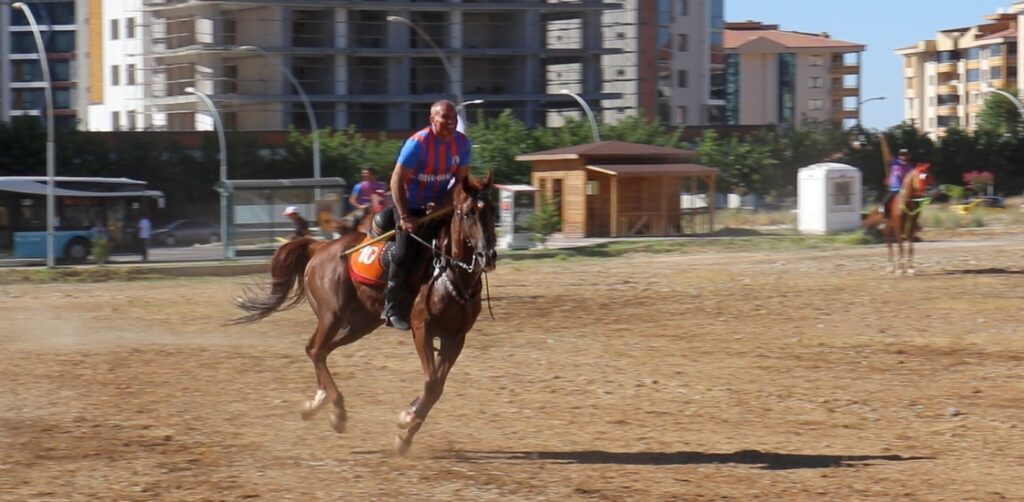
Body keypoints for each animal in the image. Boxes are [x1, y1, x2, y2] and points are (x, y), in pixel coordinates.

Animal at [236, 174, 499, 452]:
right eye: (468, 213)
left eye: (492, 211)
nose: (488, 255)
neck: (448, 271)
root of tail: (321, 247)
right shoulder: (422, 330)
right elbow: (431, 382)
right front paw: (407, 419)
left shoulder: (455, 338)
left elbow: (437, 386)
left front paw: (406, 431)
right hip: (331, 316)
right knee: (316, 350)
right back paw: (337, 411)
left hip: (360, 324)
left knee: (320, 351)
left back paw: (318, 402)